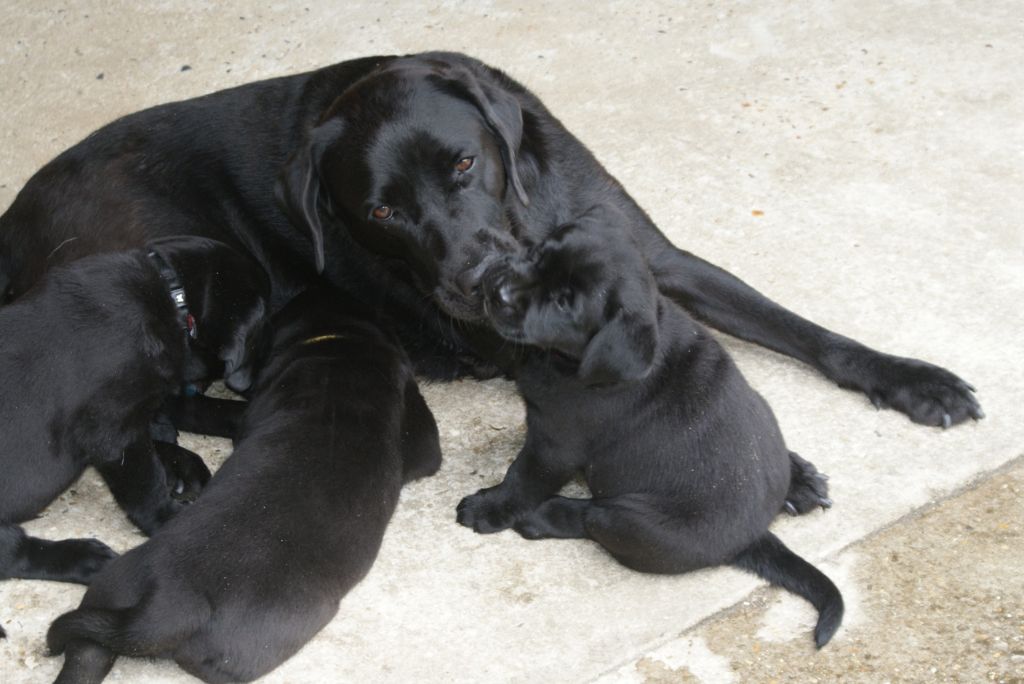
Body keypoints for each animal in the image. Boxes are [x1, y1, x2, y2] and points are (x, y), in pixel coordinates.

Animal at [0, 50, 978, 421]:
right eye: (381, 211)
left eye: (467, 164)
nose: (481, 282)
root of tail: (15, 218)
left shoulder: (659, 259)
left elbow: (797, 327)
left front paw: (908, 378)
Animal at [0, 236, 270, 589]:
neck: (173, 295)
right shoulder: (113, 433)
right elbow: (145, 484)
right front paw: (168, 517)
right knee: (14, 553)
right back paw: (84, 557)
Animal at [48, 286, 442, 684]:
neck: (339, 339)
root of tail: (163, 610)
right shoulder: (424, 438)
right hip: (248, 651)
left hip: (110, 590)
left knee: (86, 652)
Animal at [456, 206, 839, 647]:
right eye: (536, 255)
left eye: (563, 304)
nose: (495, 286)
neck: (568, 361)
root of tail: (754, 535)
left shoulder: (555, 444)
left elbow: (522, 479)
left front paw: (489, 507)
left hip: (631, 522)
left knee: (591, 519)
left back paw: (543, 516)